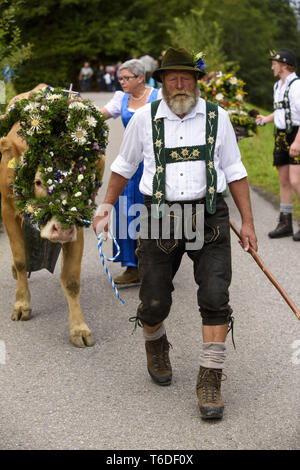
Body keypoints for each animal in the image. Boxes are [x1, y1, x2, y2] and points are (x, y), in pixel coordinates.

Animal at [0, 83, 108, 348]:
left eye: (84, 180)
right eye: (38, 181)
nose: (62, 229)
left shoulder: (78, 221)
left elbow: (71, 279)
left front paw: (79, 328)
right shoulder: (7, 211)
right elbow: (21, 259)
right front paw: (22, 304)